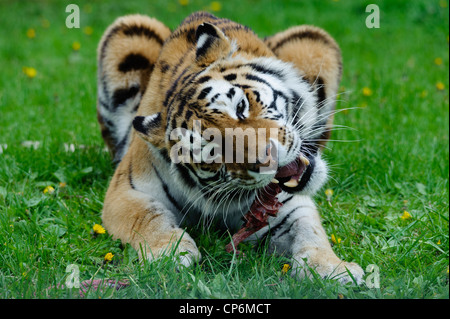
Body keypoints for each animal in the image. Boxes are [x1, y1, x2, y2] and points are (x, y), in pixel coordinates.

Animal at [96, 10, 364, 284]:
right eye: (213, 151)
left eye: (241, 107)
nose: (269, 159)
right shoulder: (124, 192)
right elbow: (147, 219)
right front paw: (171, 252)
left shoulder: (289, 205)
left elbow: (309, 231)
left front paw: (334, 269)